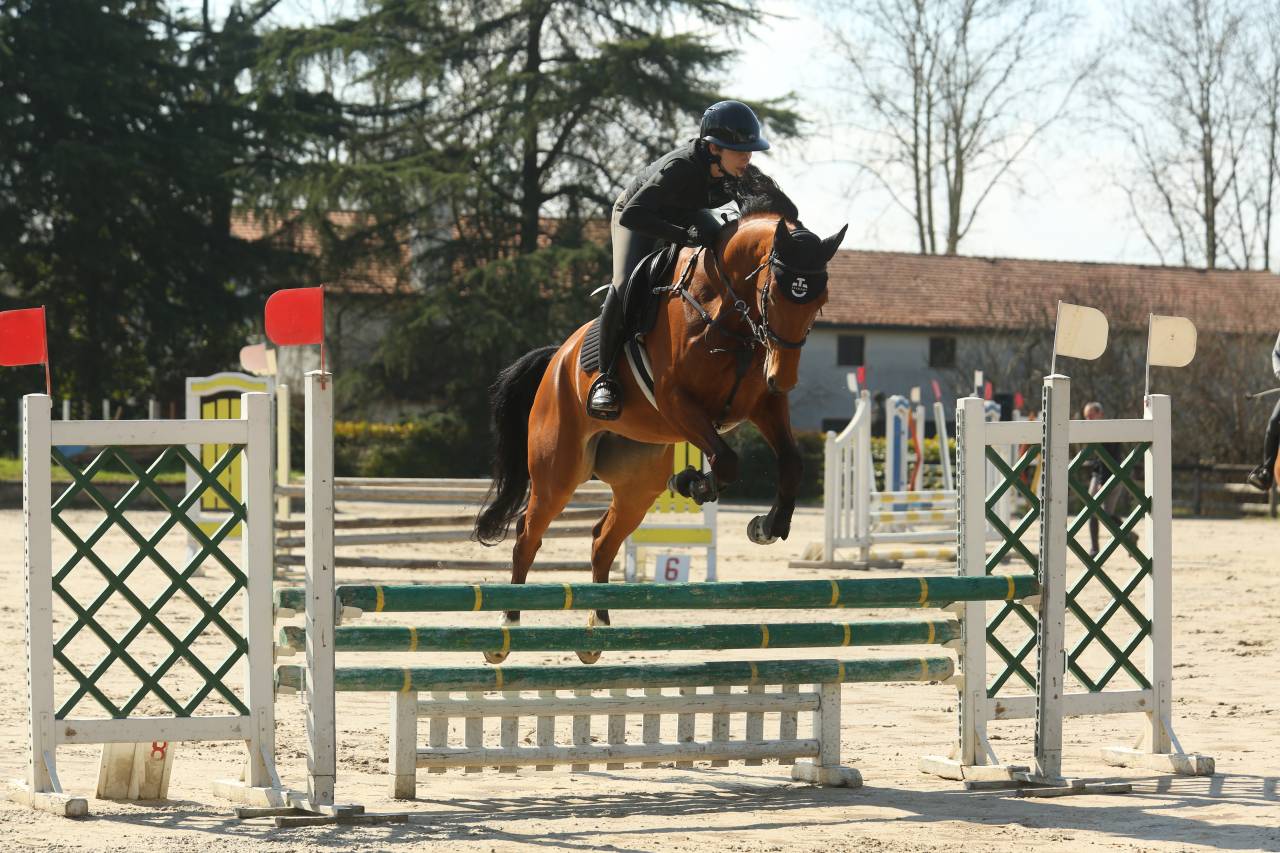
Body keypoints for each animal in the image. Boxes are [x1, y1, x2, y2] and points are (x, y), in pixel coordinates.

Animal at [475, 186, 847, 663]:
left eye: (819, 302)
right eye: (774, 295)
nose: (782, 377)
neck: (726, 309)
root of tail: (558, 357)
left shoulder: (762, 405)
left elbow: (791, 463)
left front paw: (767, 526)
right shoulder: (677, 403)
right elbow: (727, 462)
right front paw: (694, 483)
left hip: (638, 483)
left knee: (602, 540)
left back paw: (597, 630)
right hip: (559, 471)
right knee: (527, 534)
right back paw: (507, 628)